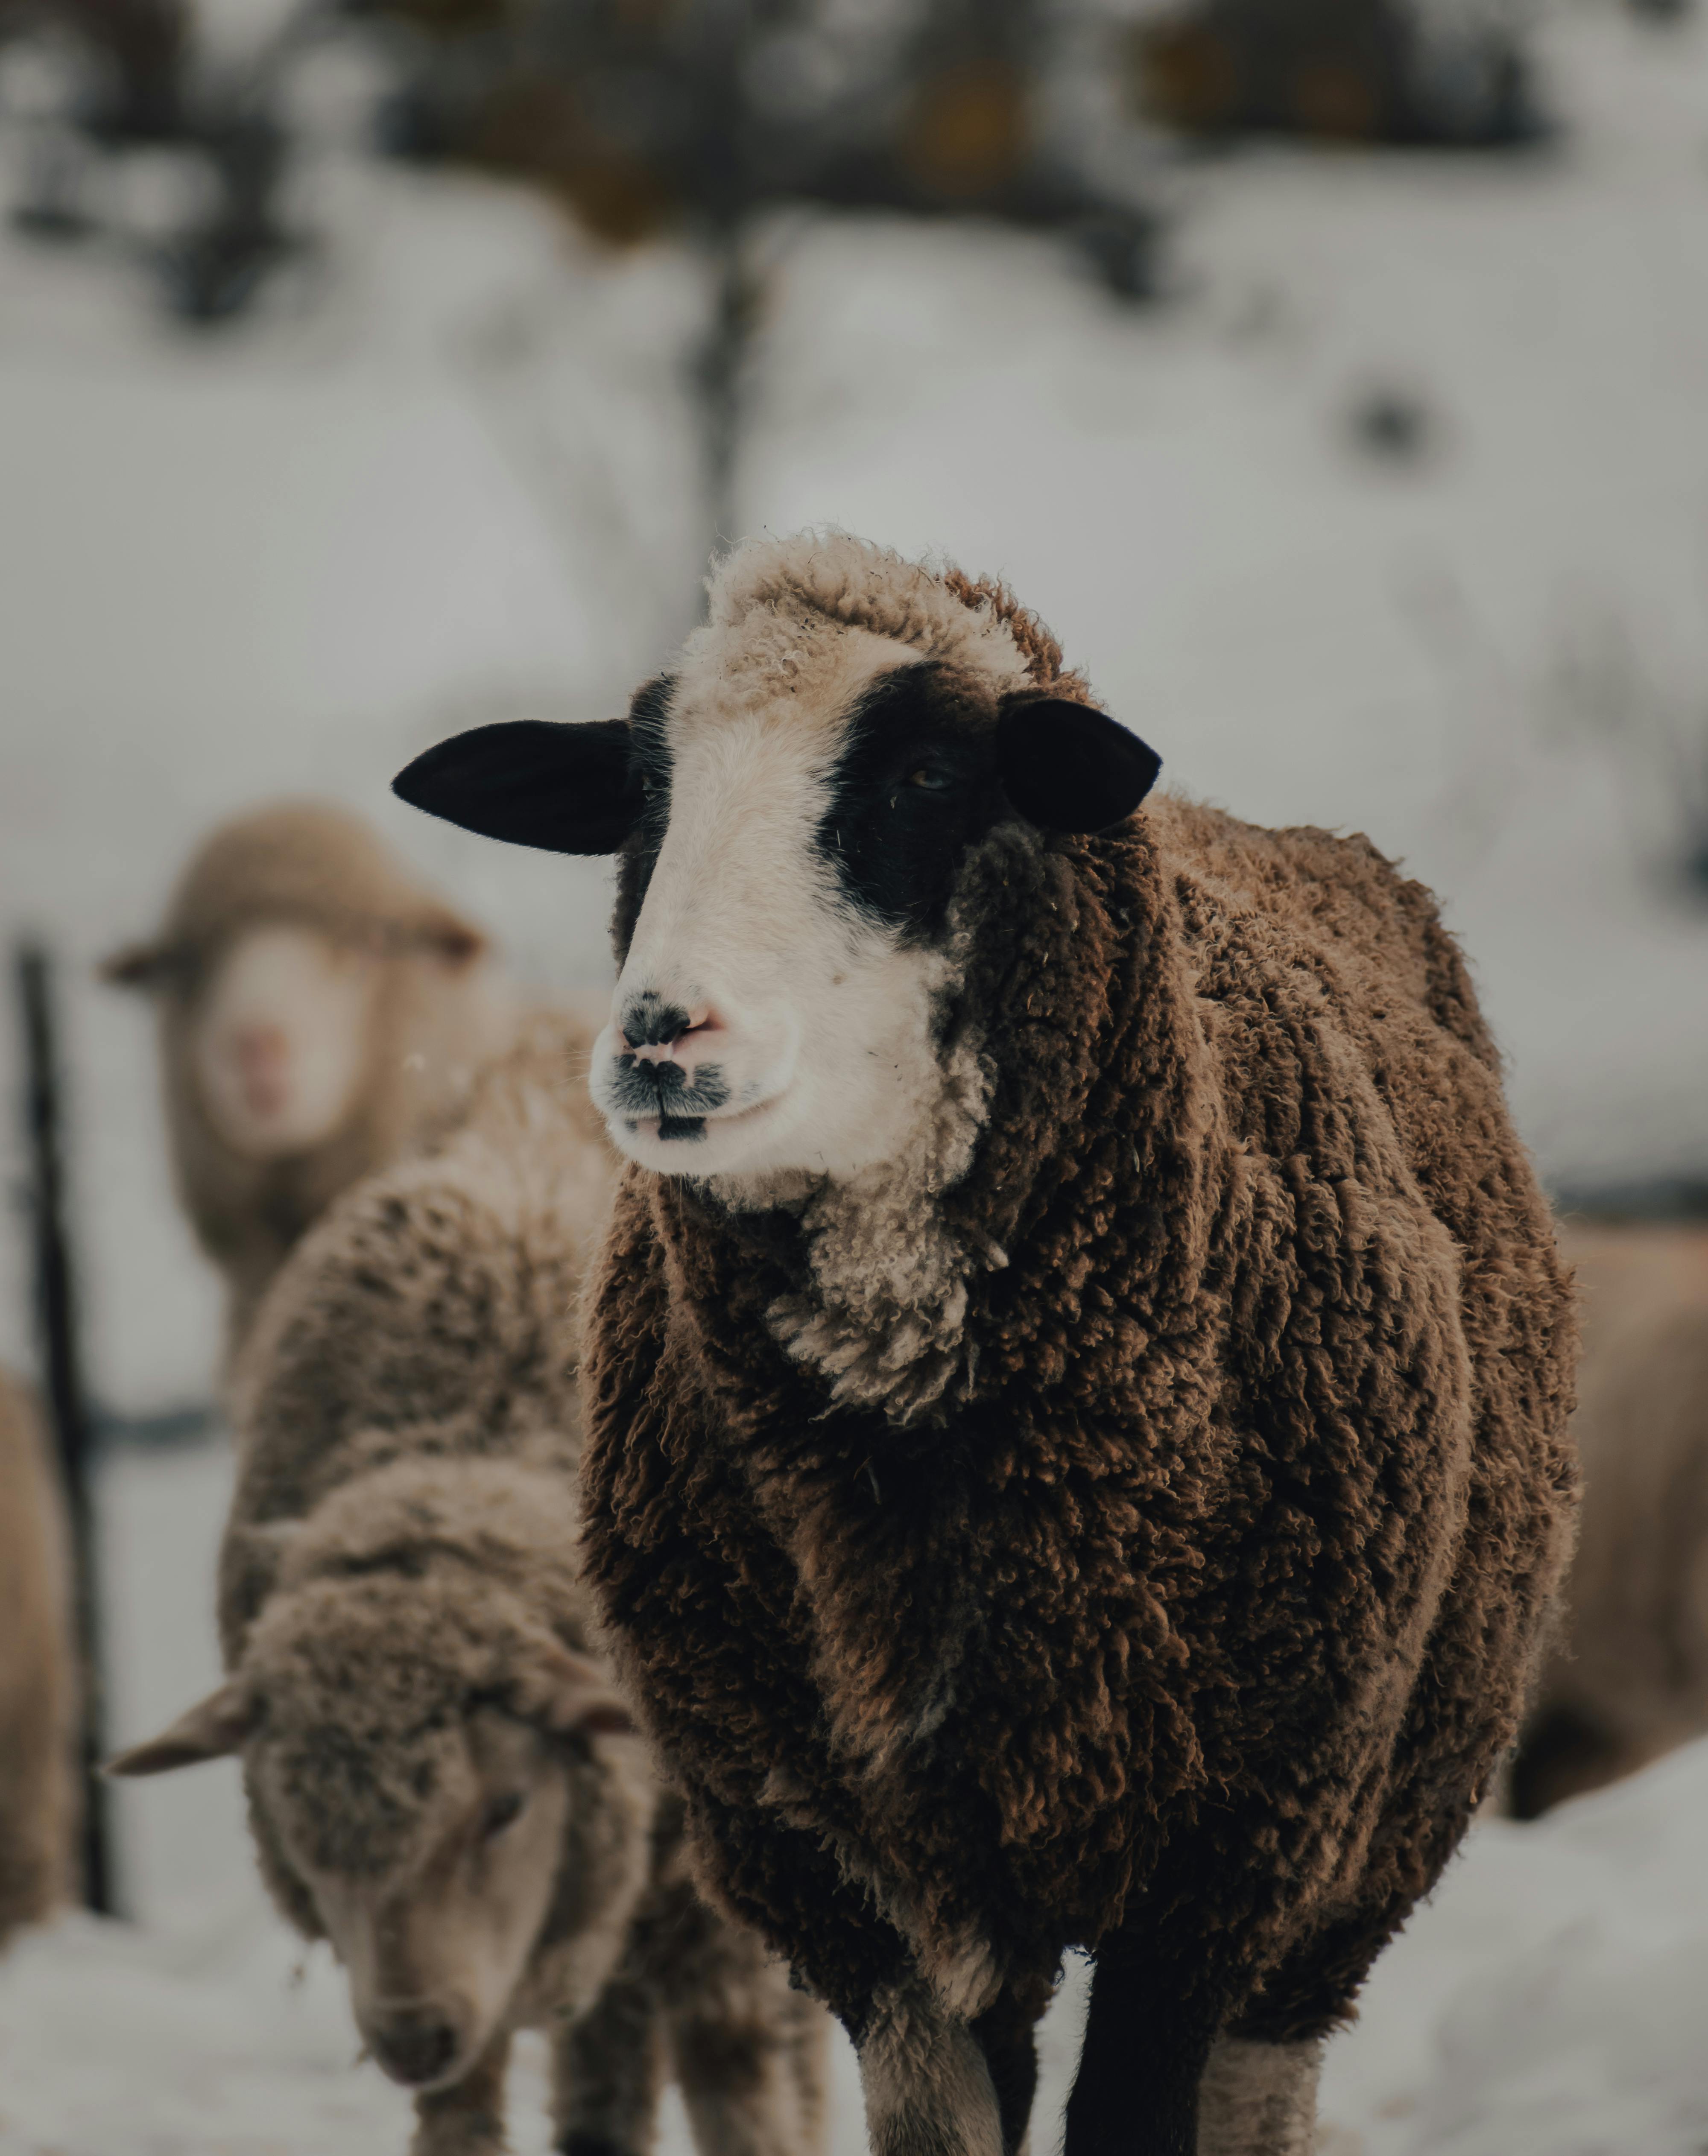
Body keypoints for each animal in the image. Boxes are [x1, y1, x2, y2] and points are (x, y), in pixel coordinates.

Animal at [395, 535, 1578, 2156]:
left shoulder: (1217, 1857)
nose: (660, 1039)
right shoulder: (844, 1872)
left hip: (1357, 1847)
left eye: (925, 778)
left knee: (1266, 2082)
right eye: (642, 789)